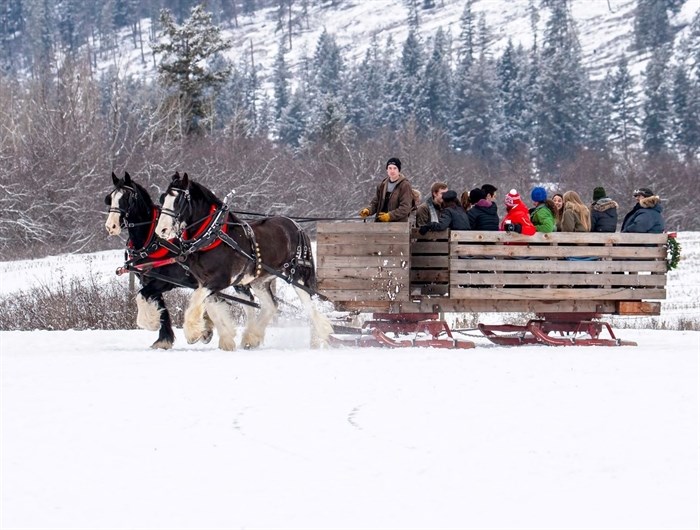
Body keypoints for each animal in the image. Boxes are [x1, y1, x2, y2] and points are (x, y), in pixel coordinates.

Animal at [154, 171, 332, 348]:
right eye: (163, 199)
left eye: (179, 201)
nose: (161, 230)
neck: (212, 236)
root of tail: (297, 226)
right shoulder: (204, 282)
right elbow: (210, 304)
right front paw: (214, 334)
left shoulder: (219, 280)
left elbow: (197, 298)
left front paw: (192, 332)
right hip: (259, 281)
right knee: (271, 306)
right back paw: (251, 338)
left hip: (299, 277)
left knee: (310, 308)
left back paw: (319, 339)